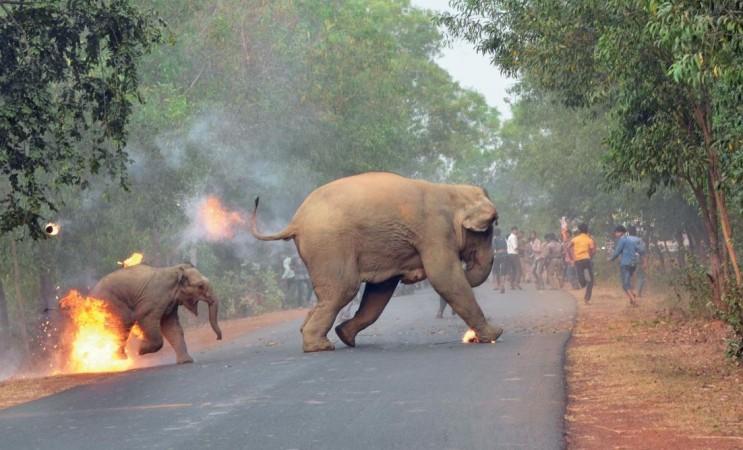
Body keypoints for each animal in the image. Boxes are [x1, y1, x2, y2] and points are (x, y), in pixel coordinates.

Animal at [90, 263, 222, 364]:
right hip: (111, 302)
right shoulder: (155, 297)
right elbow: (145, 318)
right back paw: (119, 359)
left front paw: (186, 361)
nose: (218, 338)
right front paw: (141, 350)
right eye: (200, 286)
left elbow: (172, 327)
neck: (176, 270)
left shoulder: (170, 304)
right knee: (123, 324)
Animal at [250, 172, 503, 352]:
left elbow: (380, 291)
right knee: (343, 289)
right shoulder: (435, 232)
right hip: (329, 245)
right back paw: (319, 347)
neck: (452, 190)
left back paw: (325, 336)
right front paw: (494, 334)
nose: (468, 266)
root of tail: (296, 221)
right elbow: (444, 277)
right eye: (487, 230)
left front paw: (345, 334)